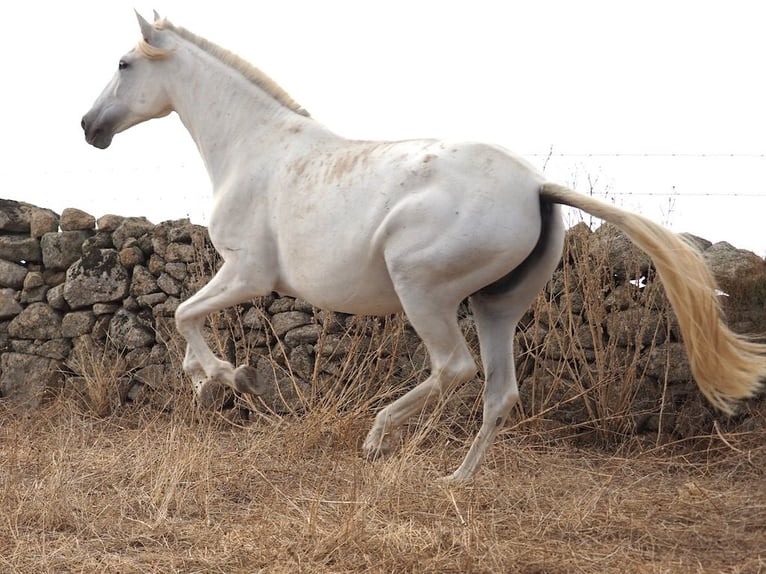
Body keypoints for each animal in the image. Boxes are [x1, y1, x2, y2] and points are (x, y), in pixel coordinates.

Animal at [81, 13, 764, 482]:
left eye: (124, 64)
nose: (89, 128)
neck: (257, 148)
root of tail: (535, 186)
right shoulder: (243, 277)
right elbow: (183, 321)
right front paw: (210, 383)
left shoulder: (248, 274)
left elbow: (181, 314)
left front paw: (226, 376)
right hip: (496, 306)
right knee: (499, 392)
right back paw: (456, 479)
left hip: (423, 291)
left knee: (455, 368)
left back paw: (378, 437)